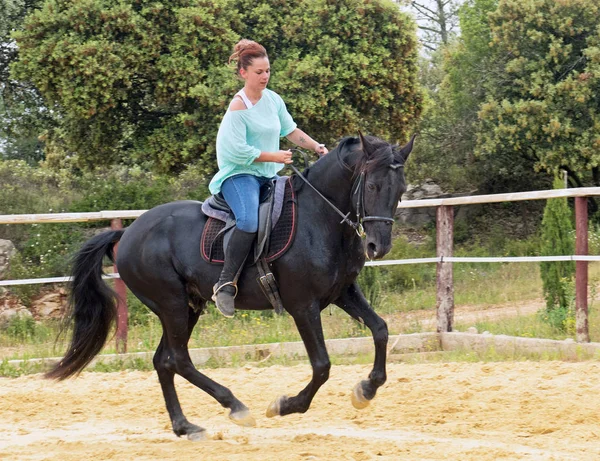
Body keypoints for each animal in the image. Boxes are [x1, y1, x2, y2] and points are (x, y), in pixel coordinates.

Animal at [47, 132, 414, 438]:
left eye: (400, 190)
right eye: (372, 187)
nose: (378, 246)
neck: (320, 218)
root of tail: (127, 233)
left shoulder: (343, 292)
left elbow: (380, 330)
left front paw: (366, 390)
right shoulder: (303, 306)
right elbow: (322, 366)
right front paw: (286, 405)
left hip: (187, 306)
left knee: (163, 361)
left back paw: (184, 426)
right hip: (172, 305)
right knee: (178, 360)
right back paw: (235, 406)